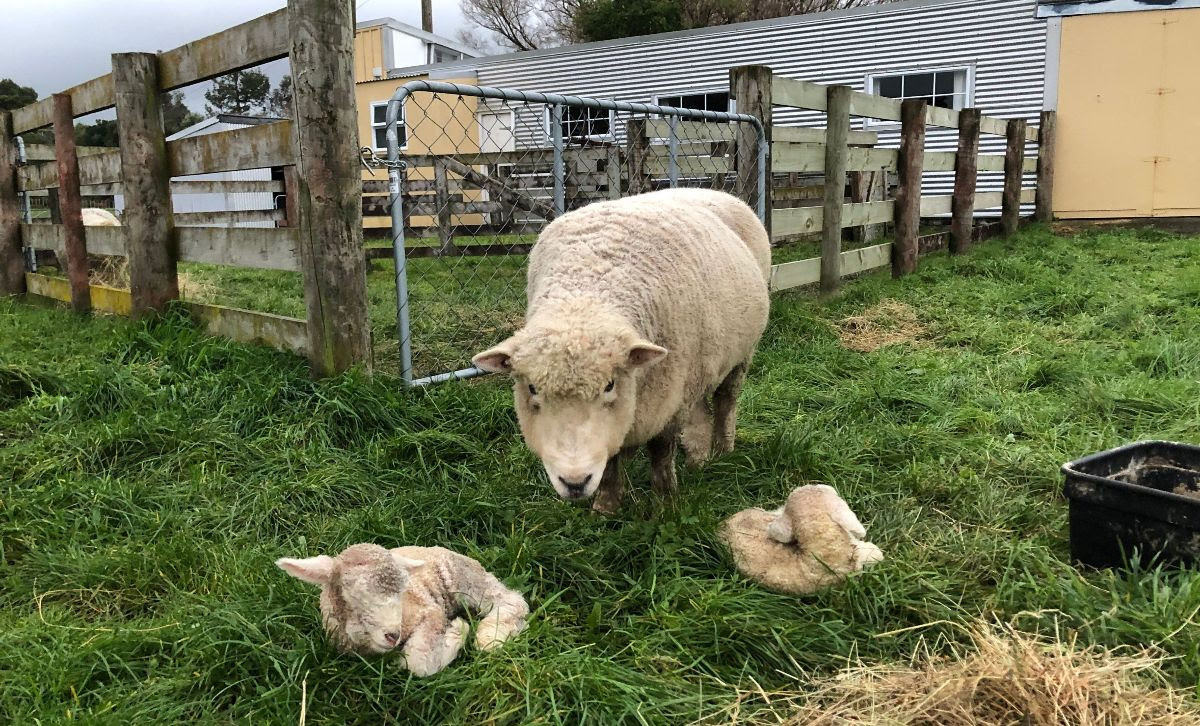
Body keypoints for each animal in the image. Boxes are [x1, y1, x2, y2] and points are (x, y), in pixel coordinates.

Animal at [279, 542, 530, 672]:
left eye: (401, 592)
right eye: (353, 594)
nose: (393, 635)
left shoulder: (430, 612)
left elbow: (417, 662)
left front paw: (457, 630)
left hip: (463, 577)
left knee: (512, 600)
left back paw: (491, 636)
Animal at [468, 188, 768, 516]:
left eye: (610, 385)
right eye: (532, 388)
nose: (575, 482)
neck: (584, 294)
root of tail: (710, 190)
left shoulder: (668, 400)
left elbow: (661, 452)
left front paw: (665, 502)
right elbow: (611, 459)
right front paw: (606, 507)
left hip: (739, 355)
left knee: (726, 400)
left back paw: (724, 449)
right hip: (700, 364)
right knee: (701, 405)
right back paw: (697, 459)